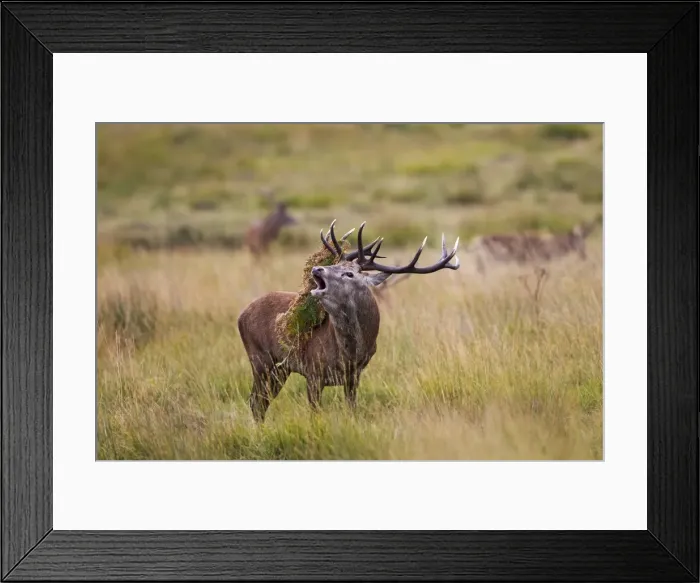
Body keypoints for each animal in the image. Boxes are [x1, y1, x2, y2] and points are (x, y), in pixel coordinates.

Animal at [237, 220, 460, 423]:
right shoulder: (313, 372)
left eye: (349, 273)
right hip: (260, 358)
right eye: (335, 264)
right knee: (255, 401)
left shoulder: (354, 375)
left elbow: (352, 409)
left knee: (261, 402)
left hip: (280, 368)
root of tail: (241, 315)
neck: (349, 354)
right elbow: (315, 414)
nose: (317, 268)